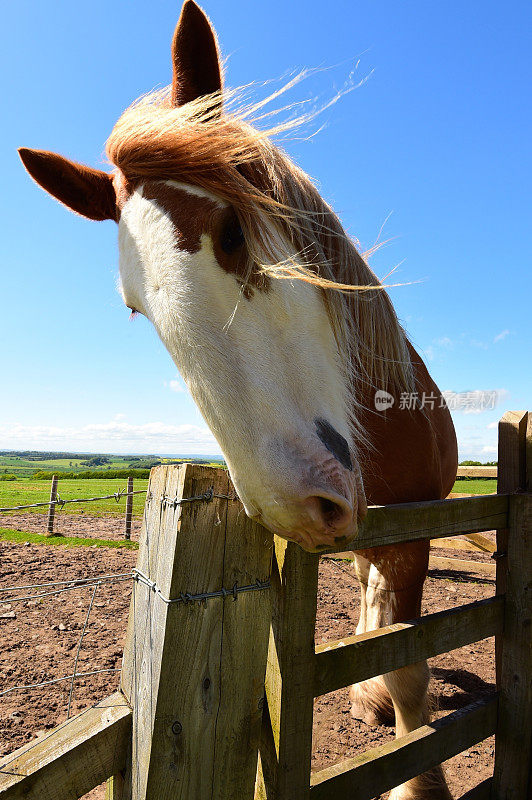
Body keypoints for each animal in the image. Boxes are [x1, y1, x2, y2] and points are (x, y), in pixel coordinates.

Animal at [17, 3, 458, 796]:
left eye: (231, 231)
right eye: (137, 307)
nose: (294, 506)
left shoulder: (415, 530)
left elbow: (409, 667)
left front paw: (417, 775)